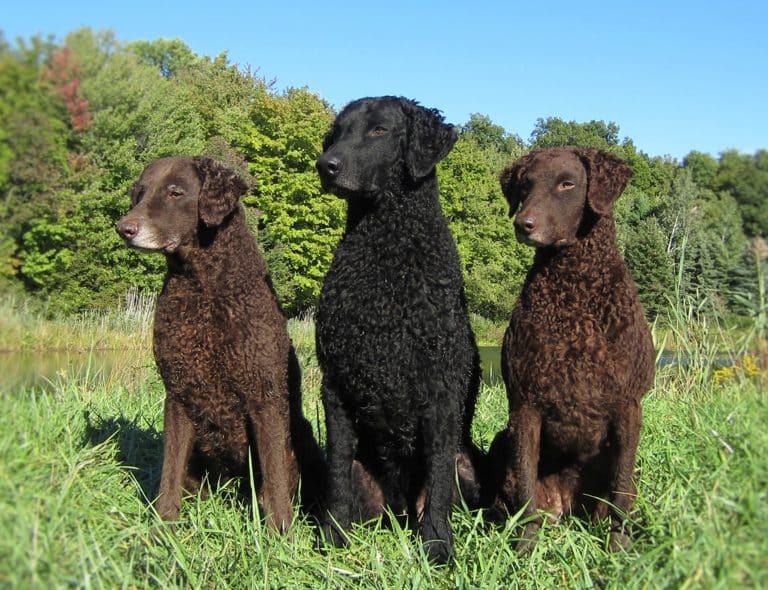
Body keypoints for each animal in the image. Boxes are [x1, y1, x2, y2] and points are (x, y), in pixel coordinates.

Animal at [115, 156, 322, 532]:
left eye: (175, 192)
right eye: (139, 192)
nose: (124, 227)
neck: (203, 288)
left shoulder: (264, 394)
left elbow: (275, 479)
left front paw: (280, 535)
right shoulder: (179, 392)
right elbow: (169, 475)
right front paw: (163, 529)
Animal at [316, 96, 476, 564]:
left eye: (380, 130)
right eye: (336, 133)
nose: (325, 165)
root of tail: (399, 511)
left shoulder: (442, 391)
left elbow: (438, 479)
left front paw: (438, 546)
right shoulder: (335, 384)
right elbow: (336, 470)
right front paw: (333, 537)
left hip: (466, 466)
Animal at [488, 149, 656, 556]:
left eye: (567, 183)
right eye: (525, 185)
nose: (524, 224)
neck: (574, 291)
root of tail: (567, 505)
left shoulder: (629, 404)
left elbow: (621, 488)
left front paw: (619, 548)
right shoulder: (524, 404)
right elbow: (525, 489)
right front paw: (524, 551)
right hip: (503, 440)